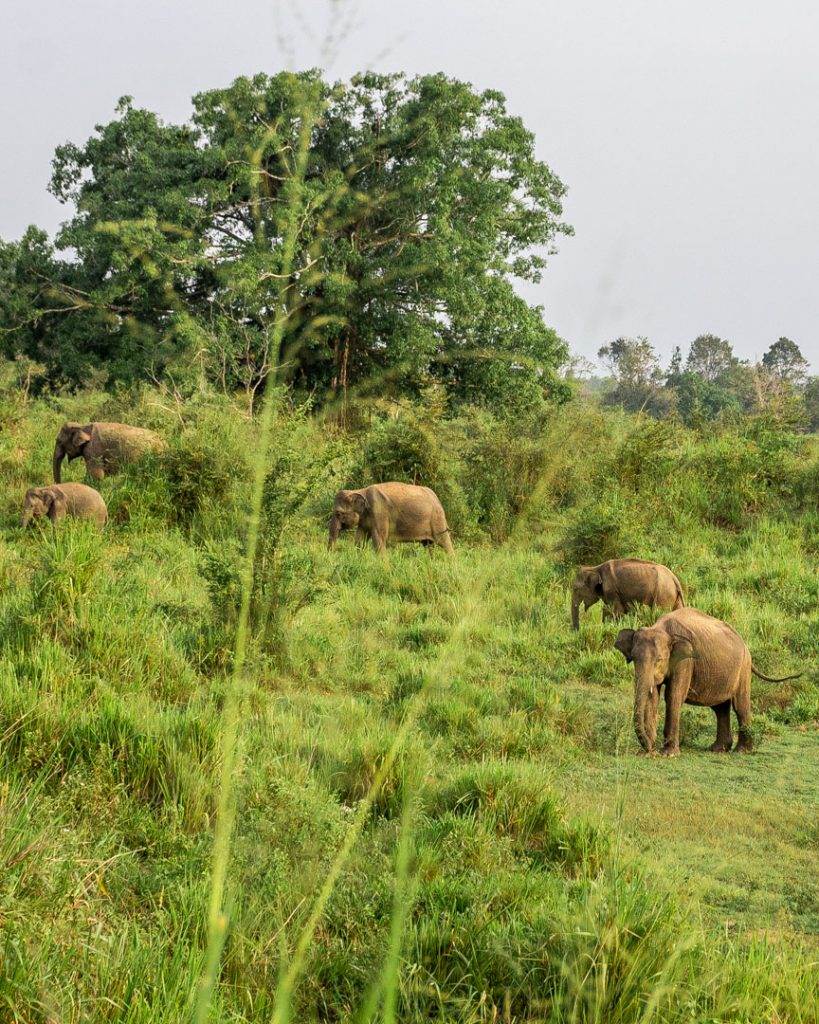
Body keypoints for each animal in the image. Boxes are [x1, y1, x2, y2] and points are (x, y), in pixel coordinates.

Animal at [614, 607, 802, 756]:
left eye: (659, 660)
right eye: (633, 659)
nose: (649, 748)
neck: (662, 628)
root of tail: (745, 645)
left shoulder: (686, 661)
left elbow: (674, 696)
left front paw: (668, 754)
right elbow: (653, 698)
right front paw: (649, 751)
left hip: (742, 668)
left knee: (740, 706)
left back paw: (742, 751)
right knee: (720, 708)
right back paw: (718, 749)